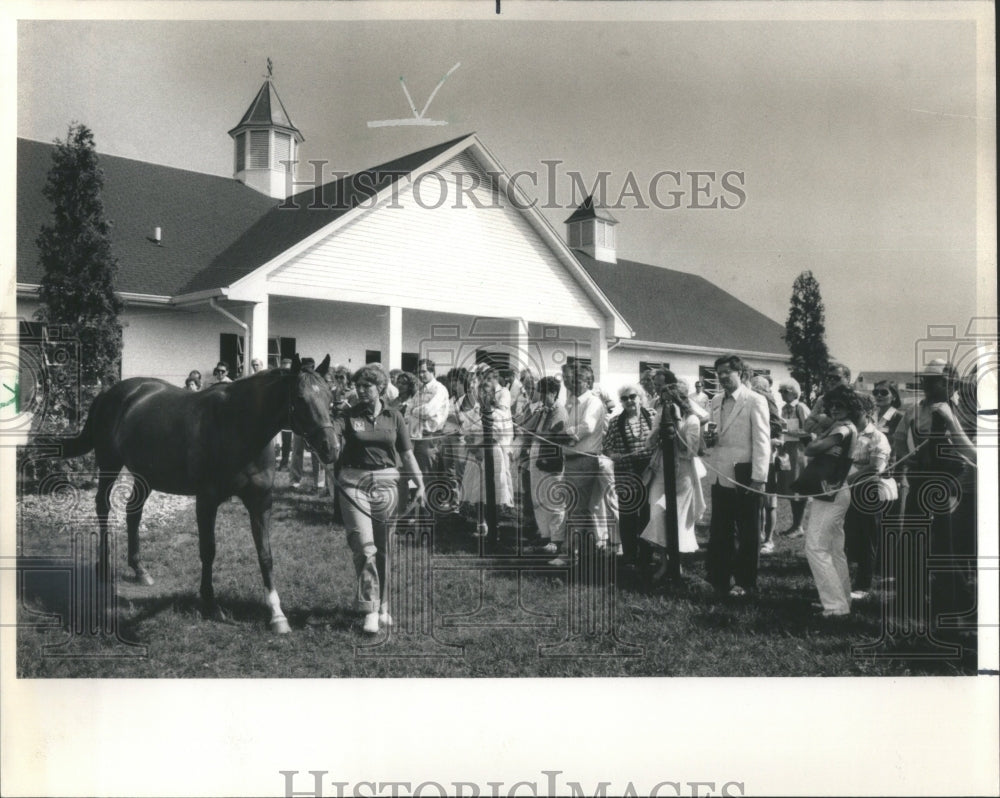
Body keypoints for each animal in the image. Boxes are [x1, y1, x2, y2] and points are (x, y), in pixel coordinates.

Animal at [40, 356, 336, 636]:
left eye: (329, 397)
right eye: (301, 399)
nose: (331, 447)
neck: (237, 424)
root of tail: (109, 392)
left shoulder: (261, 502)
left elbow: (266, 554)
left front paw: (277, 615)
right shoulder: (206, 500)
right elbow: (208, 550)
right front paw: (210, 603)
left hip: (146, 475)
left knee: (133, 513)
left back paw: (140, 570)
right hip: (109, 464)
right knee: (102, 506)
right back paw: (103, 566)